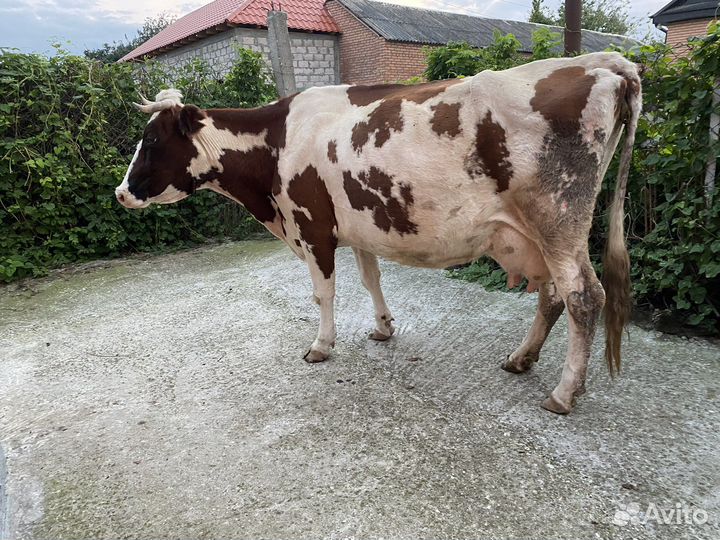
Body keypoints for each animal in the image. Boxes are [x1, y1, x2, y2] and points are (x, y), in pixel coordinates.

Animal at [115, 52, 641, 414]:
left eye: (153, 140)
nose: (121, 192)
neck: (277, 143)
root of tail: (603, 63)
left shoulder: (312, 226)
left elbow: (324, 293)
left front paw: (321, 345)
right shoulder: (357, 227)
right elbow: (371, 279)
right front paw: (384, 327)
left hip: (559, 218)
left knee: (583, 297)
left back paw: (564, 392)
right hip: (542, 233)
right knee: (552, 297)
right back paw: (521, 358)